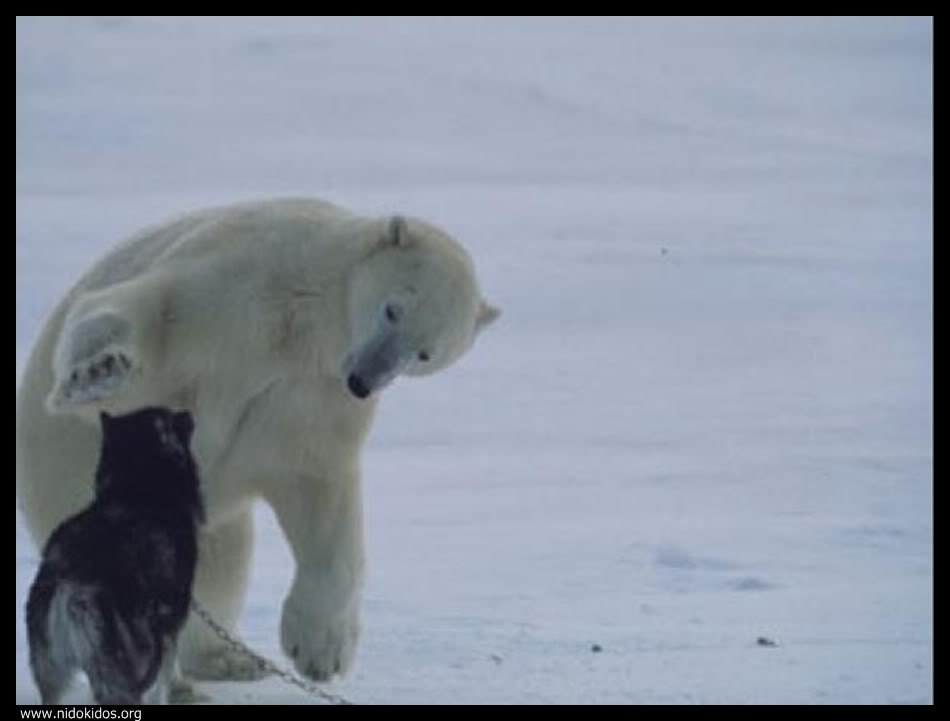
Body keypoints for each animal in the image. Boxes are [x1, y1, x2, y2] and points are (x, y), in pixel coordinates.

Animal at [26, 408, 203, 704]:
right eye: (168, 418)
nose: (189, 413)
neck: (136, 491)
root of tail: (70, 585)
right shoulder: (168, 632)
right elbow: (161, 688)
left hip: (53, 675)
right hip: (120, 670)